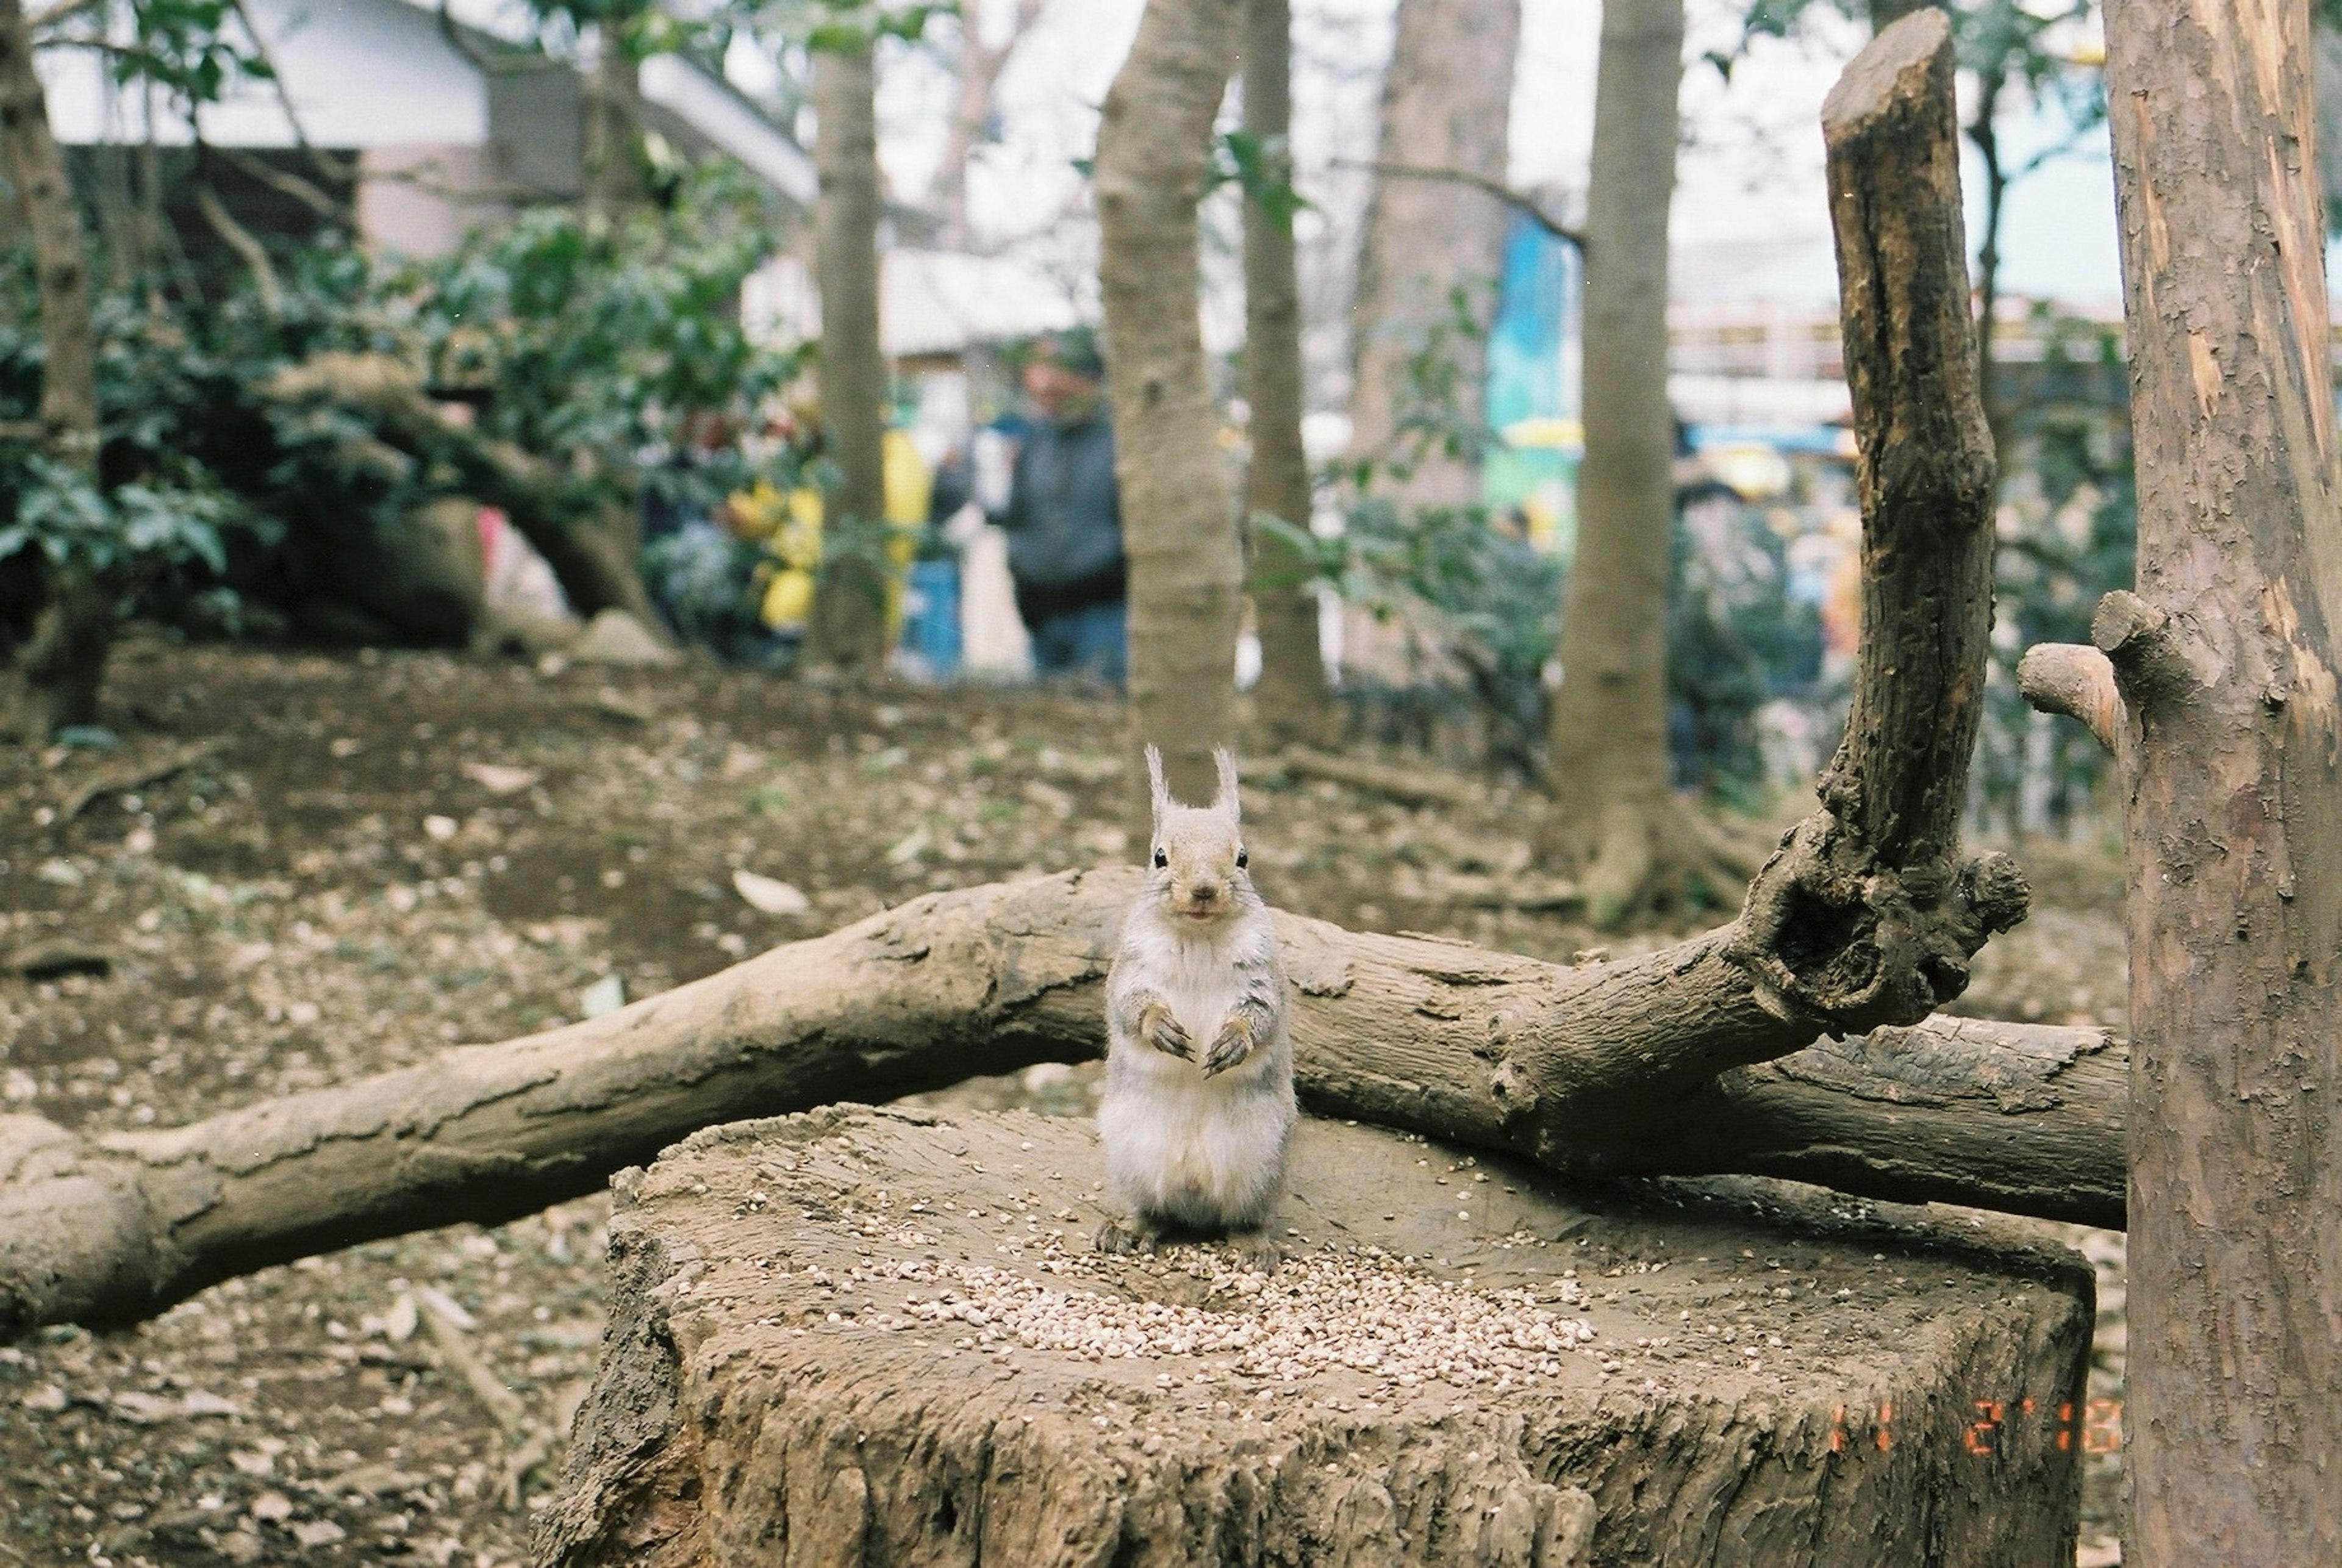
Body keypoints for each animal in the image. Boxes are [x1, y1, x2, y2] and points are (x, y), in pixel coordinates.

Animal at [1096, 744, 1302, 1273]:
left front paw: (1234, 1042)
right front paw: (1161, 1028)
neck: (1198, 935)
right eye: (1159, 856)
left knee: (1242, 1217)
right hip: (1134, 1157)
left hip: (1260, 1160)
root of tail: (1194, 1197)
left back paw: (1253, 1245)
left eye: (1243, 857)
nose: (1205, 890)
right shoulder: (1132, 968)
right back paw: (1131, 1228)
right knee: (1155, 1211)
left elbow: (1262, 1014)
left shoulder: (1262, 975)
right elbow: (1130, 1006)